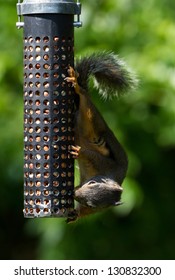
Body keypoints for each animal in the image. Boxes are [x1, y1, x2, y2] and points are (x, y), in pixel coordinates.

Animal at [64, 51, 137, 222]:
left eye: (91, 205)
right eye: (91, 183)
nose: (74, 194)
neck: (105, 175)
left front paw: (76, 214)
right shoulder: (105, 163)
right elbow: (92, 156)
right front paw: (79, 152)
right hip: (93, 123)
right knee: (87, 105)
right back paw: (77, 86)